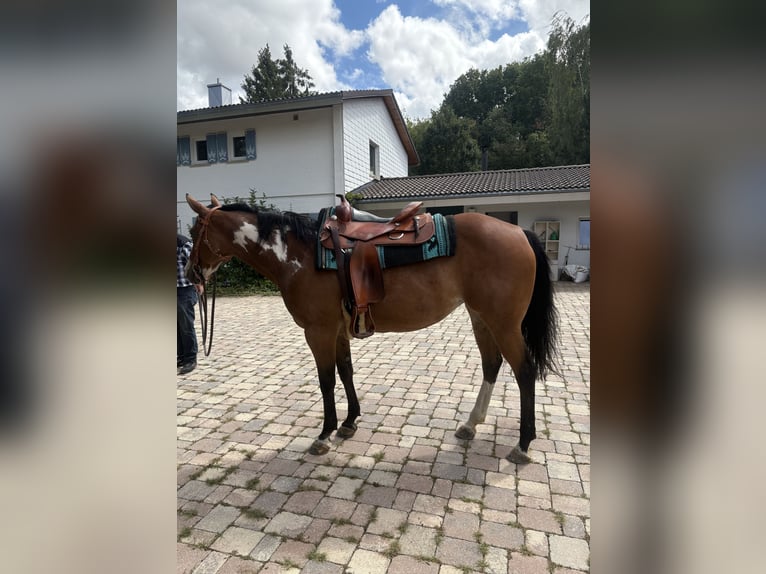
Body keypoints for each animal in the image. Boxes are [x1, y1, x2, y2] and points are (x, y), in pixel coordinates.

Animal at [185, 193, 558, 464]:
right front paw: (349, 422)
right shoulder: (337, 330)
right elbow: (346, 371)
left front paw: (324, 435)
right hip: (481, 317)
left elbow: (326, 380)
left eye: (192, 233)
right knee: (492, 365)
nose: (190, 275)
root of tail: (519, 232)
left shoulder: (318, 331)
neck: (298, 254)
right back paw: (470, 425)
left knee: (525, 372)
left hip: (504, 323)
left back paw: (523, 445)